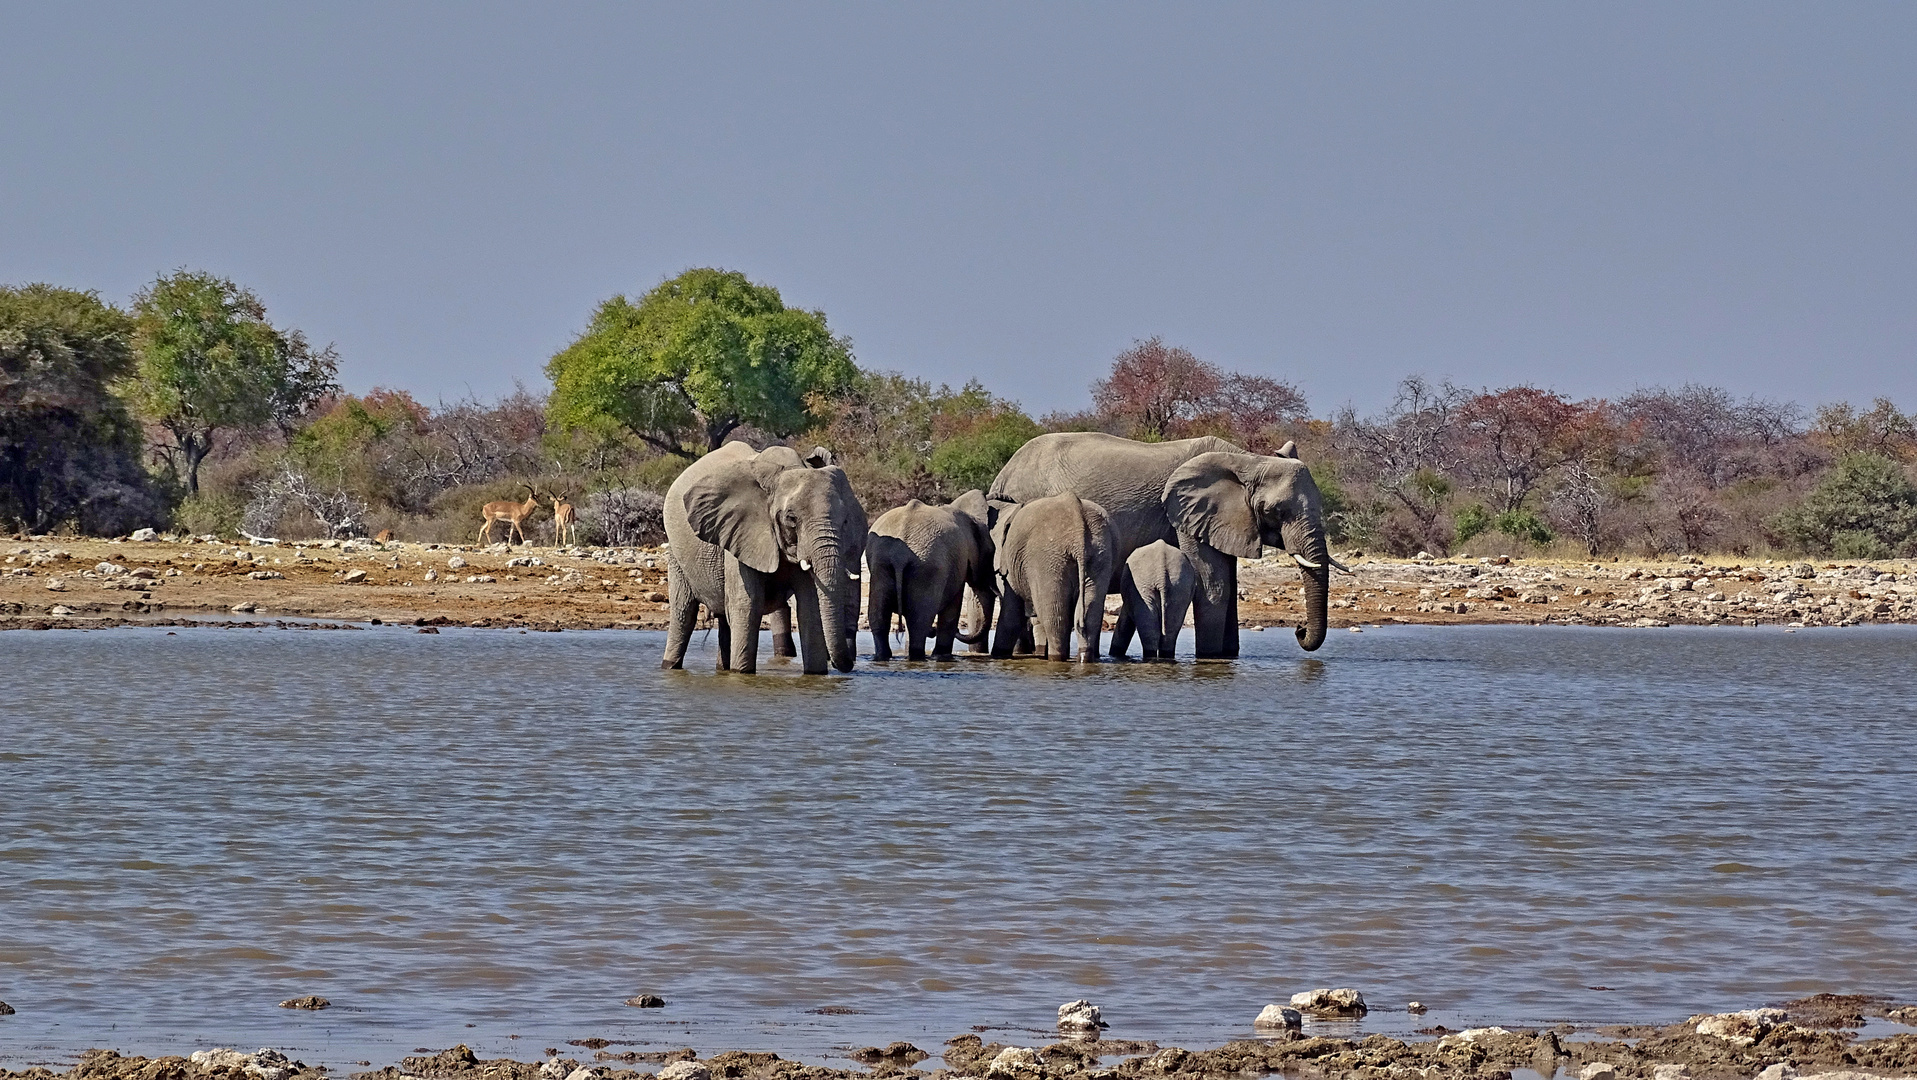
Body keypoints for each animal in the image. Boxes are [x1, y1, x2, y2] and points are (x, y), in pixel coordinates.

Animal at [663, 441, 866, 675]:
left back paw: (722, 669)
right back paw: (670, 666)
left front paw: (815, 675)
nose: (848, 666)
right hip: (676, 551)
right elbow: (748, 605)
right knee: (684, 613)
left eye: (845, 521)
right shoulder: (740, 536)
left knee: (724, 618)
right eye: (791, 518)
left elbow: (810, 605)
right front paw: (741, 674)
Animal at [866, 491, 996, 659]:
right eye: (991, 553)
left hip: (882, 564)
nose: (932, 632)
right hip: (927, 569)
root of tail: (899, 556)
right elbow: (952, 610)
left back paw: (885, 657)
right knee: (919, 622)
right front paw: (942, 656)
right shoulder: (959, 562)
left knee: (881, 618)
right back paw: (917, 656)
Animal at [989, 494, 1119, 663]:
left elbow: (1011, 615)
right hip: (1100, 554)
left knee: (1054, 618)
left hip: (1047, 559)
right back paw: (1083, 660)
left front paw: (998, 655)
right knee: (1090, 614)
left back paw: (1055, 658)